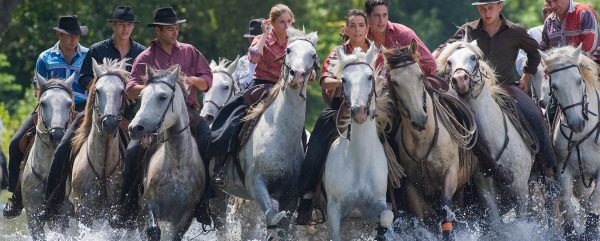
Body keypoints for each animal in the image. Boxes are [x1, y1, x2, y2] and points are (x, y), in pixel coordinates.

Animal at [127, 65, 205, 240]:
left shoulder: (185, 217)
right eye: (142, 95)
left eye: (162, 97)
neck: (177, 167)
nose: (134, 128)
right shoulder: (149, 205)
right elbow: (153, 231)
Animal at [214, 27, 318, 239]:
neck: (279, 134)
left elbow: (283, 227)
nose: (297, 75)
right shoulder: (257, 184)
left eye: (313, 55)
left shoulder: (290, 195)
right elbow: (271, 217)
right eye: (288, 50)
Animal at [324, 43, 394, 241]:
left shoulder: (375, 205)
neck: (359, 162)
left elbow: (386, 217)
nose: (359, 112)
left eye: (369, 76)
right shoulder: (334, 209)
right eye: (343, 80)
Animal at [536, 44, 600, 239]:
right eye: (555, 86)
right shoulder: (564, 172)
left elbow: (594, 200)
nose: (577, 123)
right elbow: (567, 204)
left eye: (579, 80)